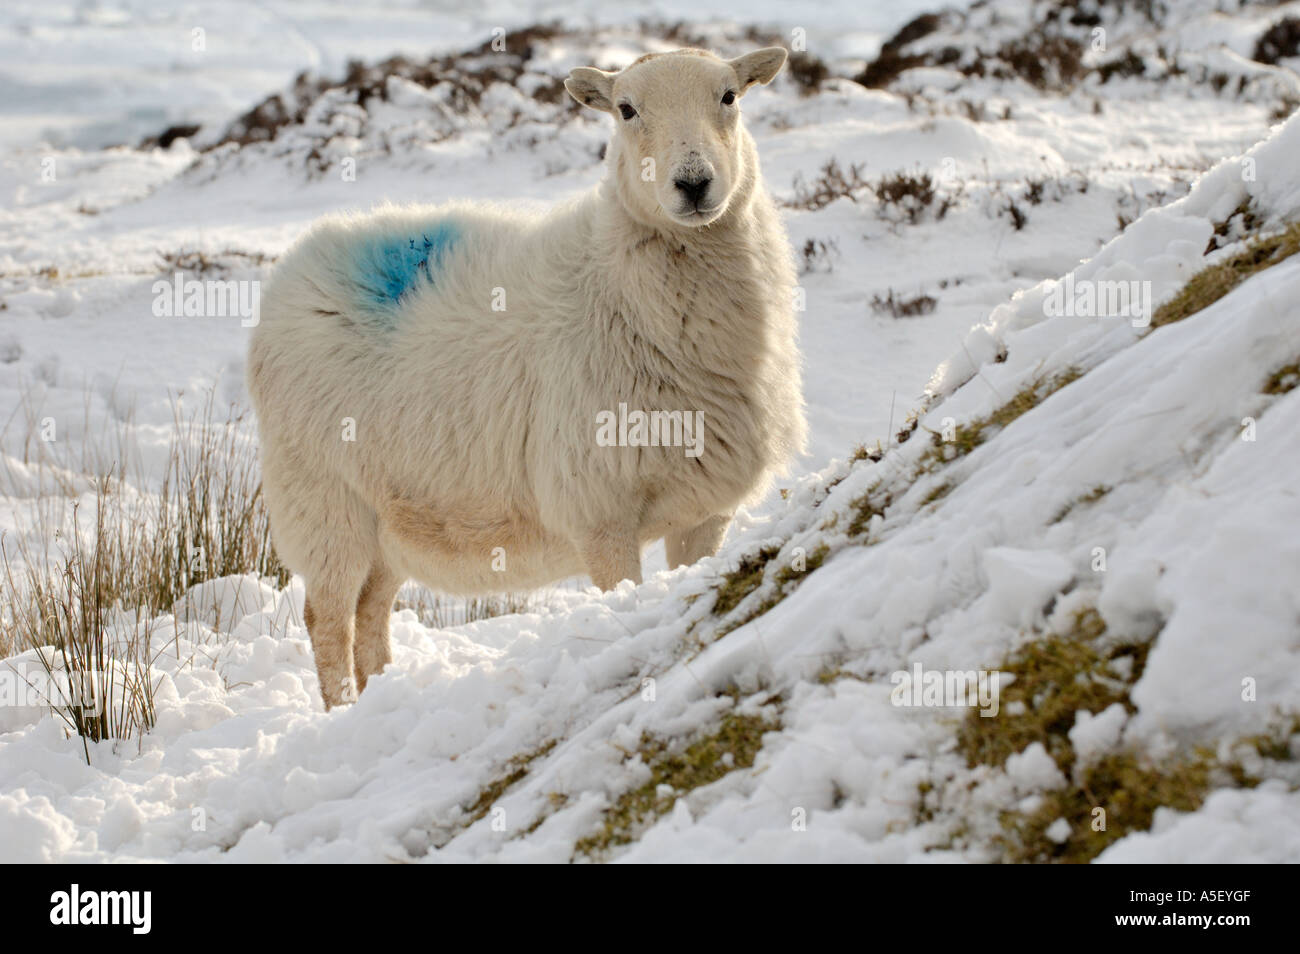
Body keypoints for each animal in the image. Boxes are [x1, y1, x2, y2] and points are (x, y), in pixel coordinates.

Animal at [245, 48, 800, 712]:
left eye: (729, 96)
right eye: (626, 109)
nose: (693, 184)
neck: (614, 288)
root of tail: (292, 269)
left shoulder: (705, 510)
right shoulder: (601, 512)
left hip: (390, 516)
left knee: (370, 612)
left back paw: (382, 696)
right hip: (323, 502)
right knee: (328, 620)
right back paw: (344, 715)